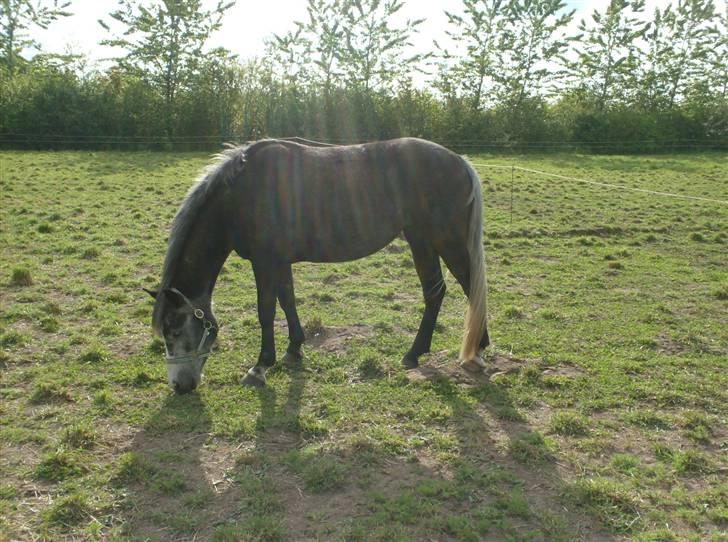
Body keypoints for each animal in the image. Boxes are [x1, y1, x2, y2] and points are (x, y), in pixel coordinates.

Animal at [146, 137, 490, 396]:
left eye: (174, 329)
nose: (180, 386)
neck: (243, 195)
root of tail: (460, 161)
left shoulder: (264, 261)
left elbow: (266, 310)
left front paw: (260, 366)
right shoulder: (280, 261)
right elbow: (287, 300)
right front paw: (294, 349)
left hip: (441, 241)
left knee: (463, 287)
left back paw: (452, 351)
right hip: (424, 242)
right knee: (442, 290)